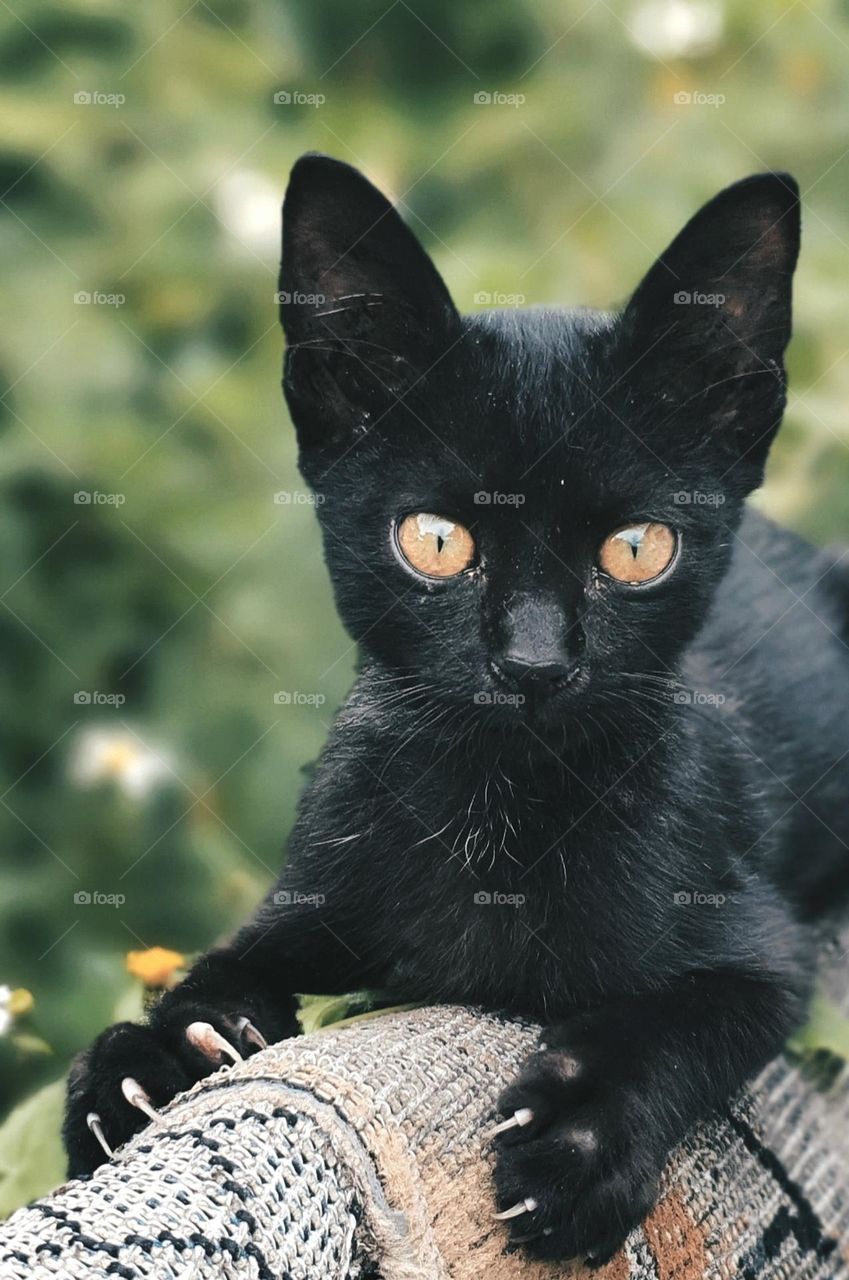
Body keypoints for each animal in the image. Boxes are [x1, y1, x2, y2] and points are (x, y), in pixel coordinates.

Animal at [63, 154, 849, 1264]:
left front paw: (576, 1142)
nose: (533, 661)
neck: (500, 804)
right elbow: (220, 962)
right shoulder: (314, 890)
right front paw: (149, 1057)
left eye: (637, 549)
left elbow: (670, 1024)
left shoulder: (759, 946)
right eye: (436, 541)